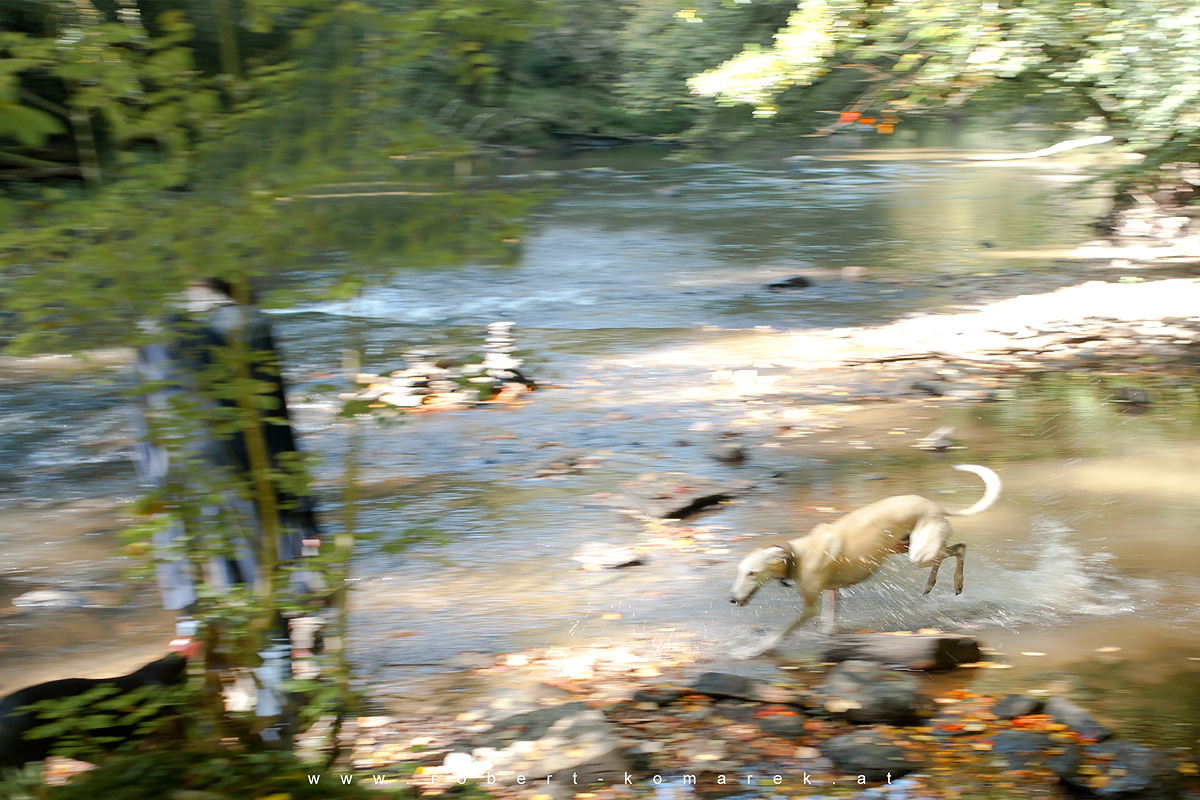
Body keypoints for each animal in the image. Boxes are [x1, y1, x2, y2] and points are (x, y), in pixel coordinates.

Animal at [724, 462, 998, 657]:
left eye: (752, 572)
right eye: (738, 571)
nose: (732, 599)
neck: (798, 554)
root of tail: (936, 506)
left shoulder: (811, 606)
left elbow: (780, 632)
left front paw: (753, 650)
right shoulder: (831, 592)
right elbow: (828, 623)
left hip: (918, 552)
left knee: (960, 548)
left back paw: (956, 582)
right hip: (904, 546)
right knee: (954, 549)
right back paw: (932, 584)